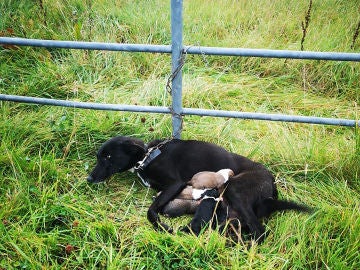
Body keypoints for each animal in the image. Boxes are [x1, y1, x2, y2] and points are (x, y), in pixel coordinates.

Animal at [88, 135, 310, 243]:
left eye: (108, 157)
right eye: (99, 156)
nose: (89, 178)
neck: (148, 156)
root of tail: (271, 182)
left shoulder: (175, 183)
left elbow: (151, 211)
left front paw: (162, 226)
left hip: (235, 189)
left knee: (259, 233)